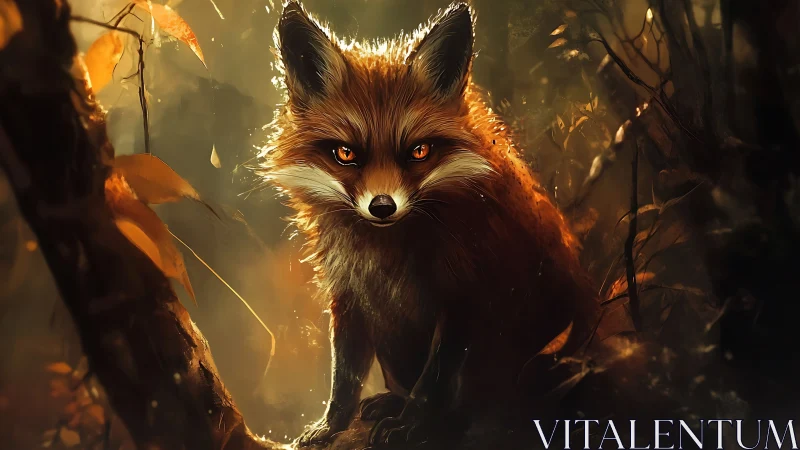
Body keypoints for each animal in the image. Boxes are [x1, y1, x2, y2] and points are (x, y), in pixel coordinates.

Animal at [261, 1, 601, 447]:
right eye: (346, 154)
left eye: (418, 151)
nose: (382, 206)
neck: (385, 253)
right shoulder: (349, 295)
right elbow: (344, 377)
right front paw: (331, 425)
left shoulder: (465, 294)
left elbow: (434, 381)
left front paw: (412, 424)